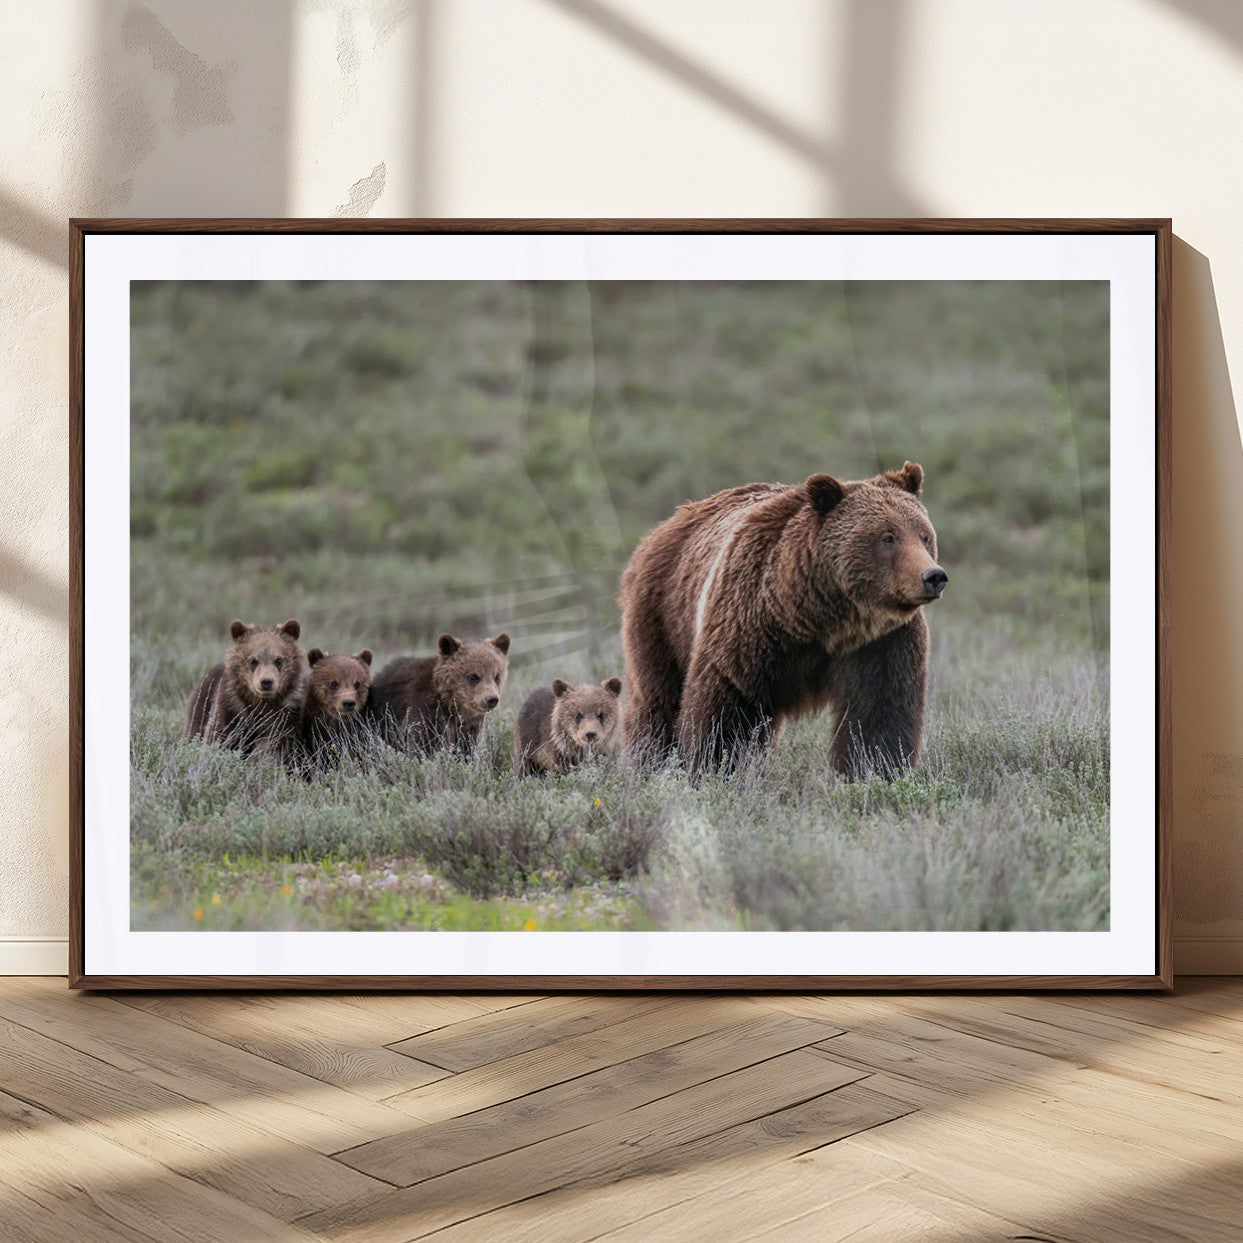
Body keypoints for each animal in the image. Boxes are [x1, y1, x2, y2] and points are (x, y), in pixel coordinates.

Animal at [184, 619, 309, 762]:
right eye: (253, 660)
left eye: (279, 660)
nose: (266, 682)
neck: (261, 702)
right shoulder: (231, 708)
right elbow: (218, 735)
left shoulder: (287, 713)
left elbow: (280, 744)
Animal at [368, 633, 510, 756]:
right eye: (474, 676)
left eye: (497, 676)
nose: (491, 699)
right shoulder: (426, 711)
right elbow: (425, 744)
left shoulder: (468, 725)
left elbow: (466, 746)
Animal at [619, 461, 947, 779]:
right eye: (887, 537)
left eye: (924, 535)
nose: (933, 576)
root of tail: (668, 524)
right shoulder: (748, 627)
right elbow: (727, 712)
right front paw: (715, 770)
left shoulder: (881, 642)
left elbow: (879, 716)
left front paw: (873, 773)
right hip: (664, 615)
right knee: (657, 700)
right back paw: (647, 762)